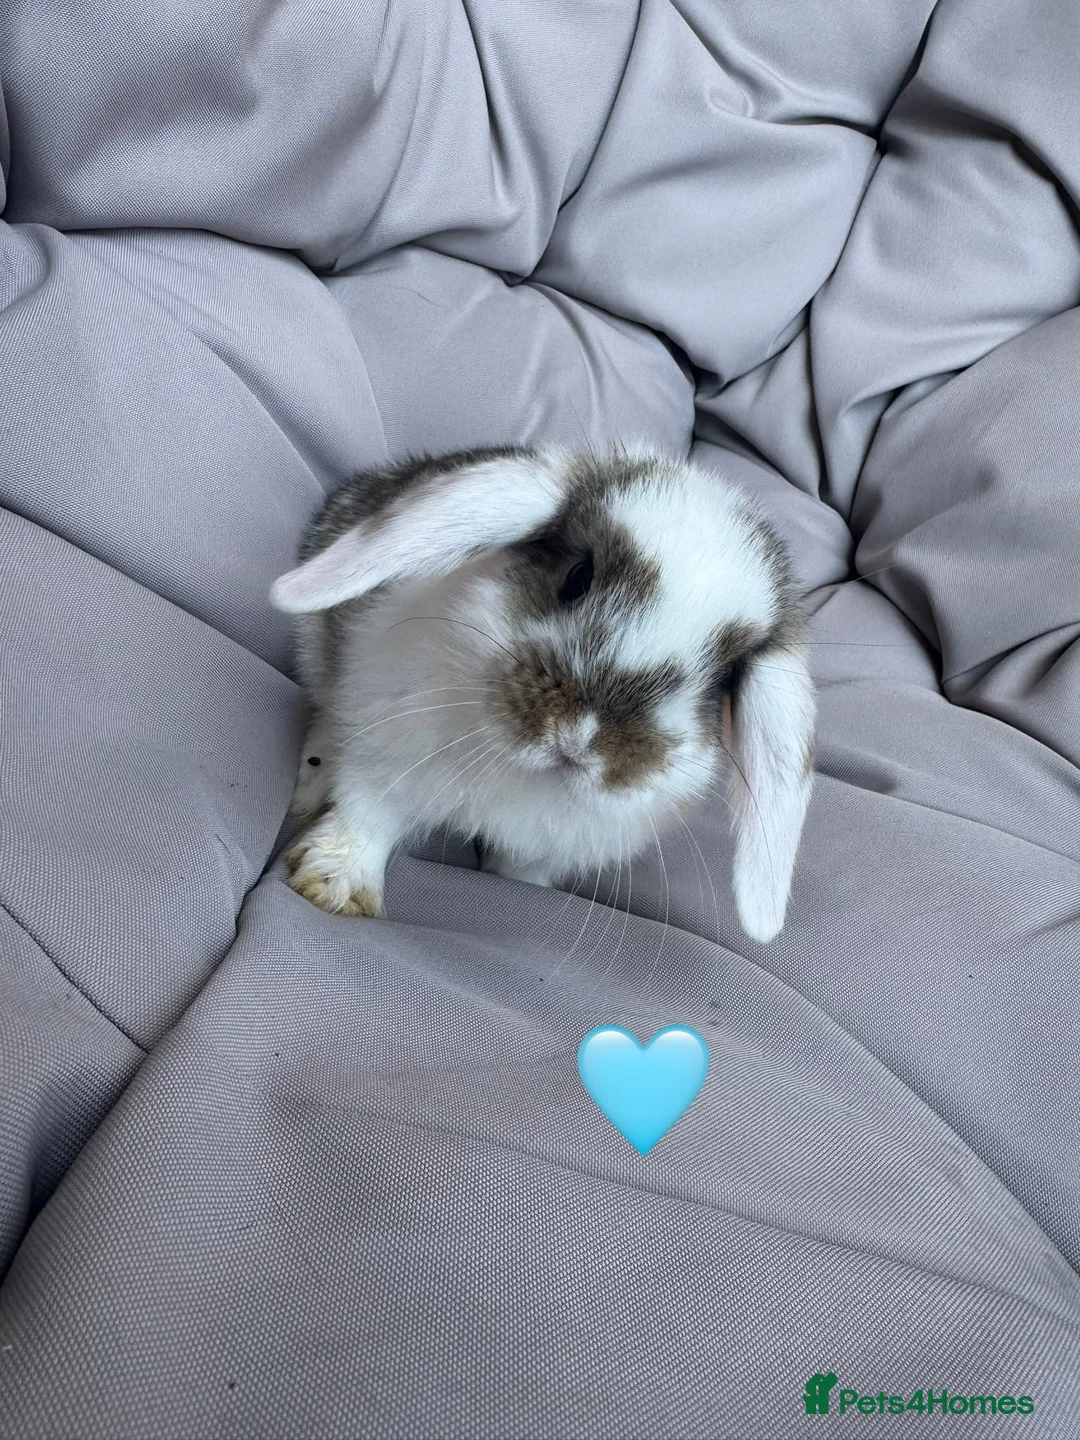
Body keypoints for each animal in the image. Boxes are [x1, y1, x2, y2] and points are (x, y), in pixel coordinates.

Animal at [270, 444, 815, 944]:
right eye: (577, 577)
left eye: (722, 678)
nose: (579, 740)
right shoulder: (387, 747)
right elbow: (368, 815)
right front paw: (335, 887)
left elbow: (520, 868)